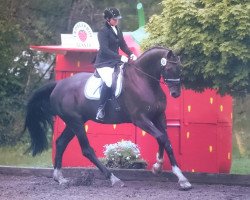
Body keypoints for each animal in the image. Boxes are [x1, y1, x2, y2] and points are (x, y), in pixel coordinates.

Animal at [24, 47, 191, 191]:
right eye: (168, 69)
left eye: (180, 68)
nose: (175, 93)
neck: (143, 80)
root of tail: (58, 85)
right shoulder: (140, 119)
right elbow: (162, 138)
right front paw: (180, 179)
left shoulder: (158, 117)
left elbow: (165, 140)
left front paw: (160, 167)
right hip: (75, 122)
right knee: (87, 150)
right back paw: (114, 179)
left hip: (74, 122)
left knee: (60, 143)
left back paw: (60, 178)